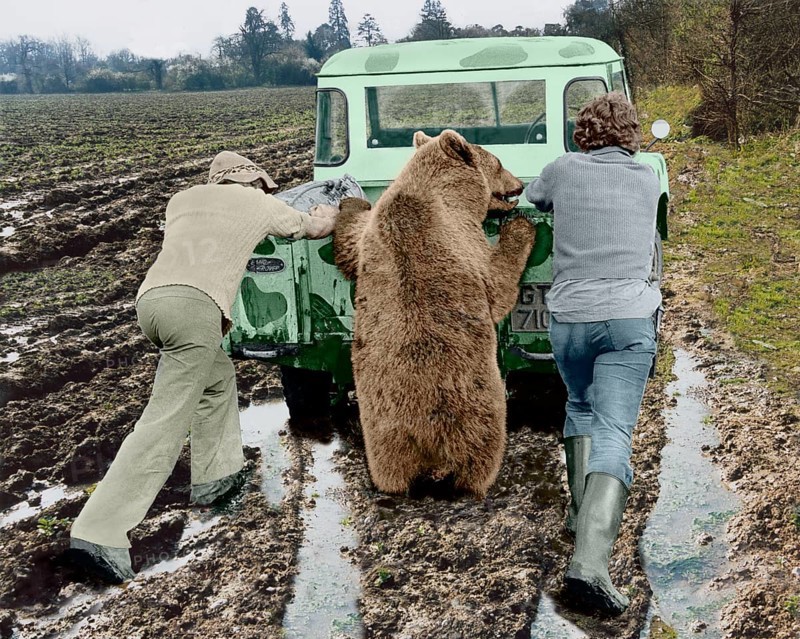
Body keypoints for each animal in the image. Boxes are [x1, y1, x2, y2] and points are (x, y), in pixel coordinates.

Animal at [333, 129, 536, 498]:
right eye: (499, 161)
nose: (519, 185)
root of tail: (427, 448)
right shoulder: (461, 236)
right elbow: (497, 285)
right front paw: (520, 227)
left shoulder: (372, 238)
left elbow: (351, 238)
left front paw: (349, 202)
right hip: (475, 410)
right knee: (481, 448)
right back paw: (481, 481)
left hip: (383, 434)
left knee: (388, 467)